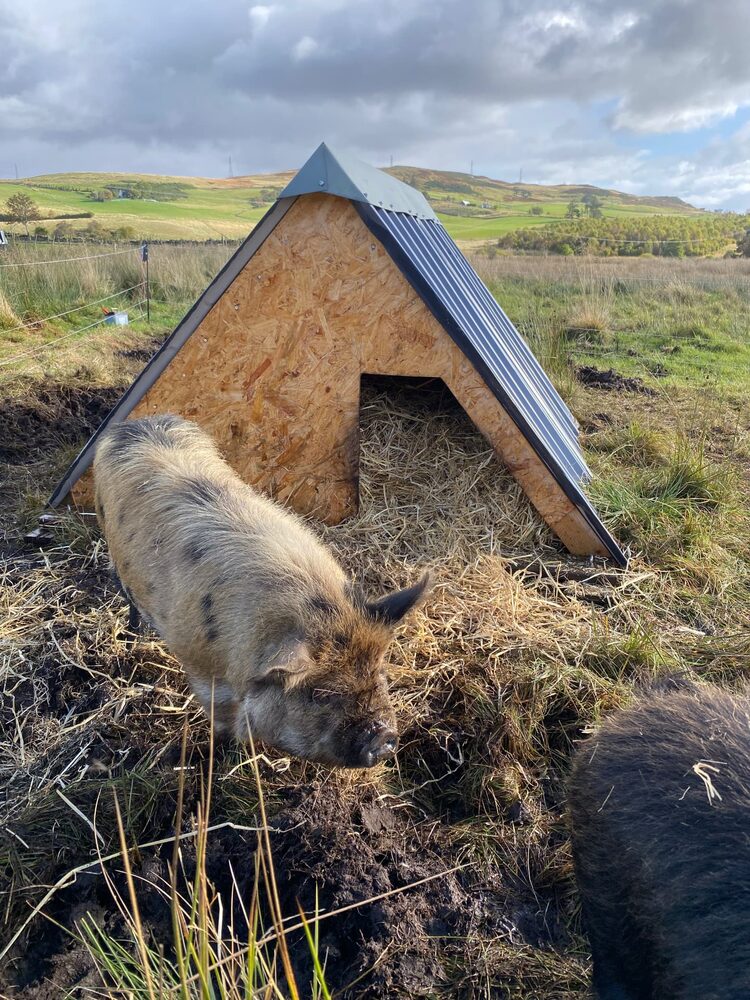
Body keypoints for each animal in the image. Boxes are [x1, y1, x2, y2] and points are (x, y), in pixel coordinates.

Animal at [93, 413, 430, 767]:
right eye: (320, 694)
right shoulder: (199, 663)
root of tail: (135, 422)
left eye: (379, 671)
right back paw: (131, 638)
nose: (385, 739)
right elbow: (221, 718)